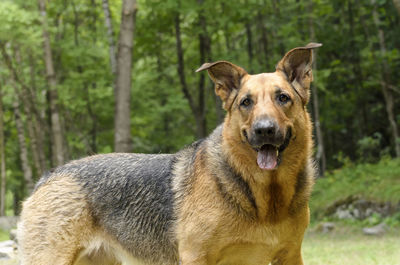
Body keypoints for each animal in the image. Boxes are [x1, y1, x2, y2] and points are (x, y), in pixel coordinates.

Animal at [18, 42, 322, 262]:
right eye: (246, 103)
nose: (264, 130)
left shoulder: (289, 255)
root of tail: (50, 175)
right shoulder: (196, 256)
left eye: (283, 98)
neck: (265, 200)